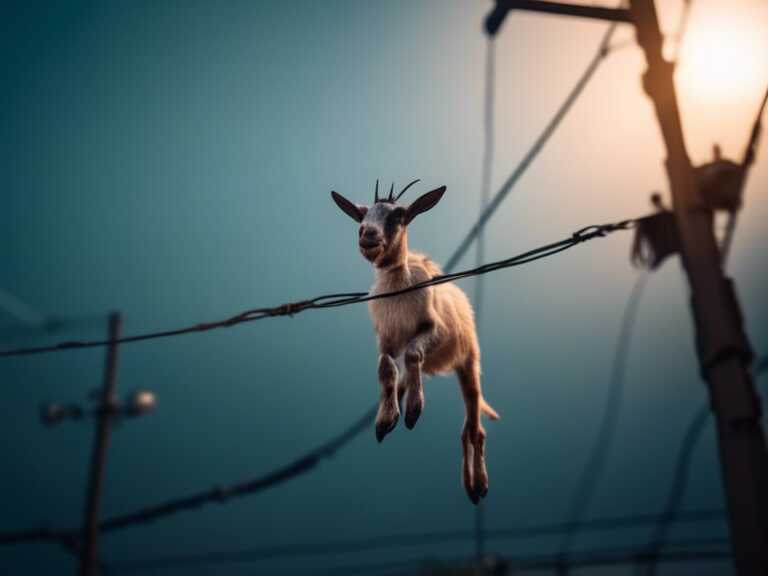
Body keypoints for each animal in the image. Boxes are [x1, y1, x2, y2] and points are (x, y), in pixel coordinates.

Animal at [331, 180, 500, 504]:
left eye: (399, 215)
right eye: (362, 215)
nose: (367, 235)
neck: (398, 286)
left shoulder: (432, 329)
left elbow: (411, 355)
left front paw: (412, 412)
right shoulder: (385, 337)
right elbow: (386, 367)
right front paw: (386, 420)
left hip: (468, 360)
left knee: (473, 428)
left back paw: (478, 486)